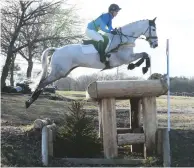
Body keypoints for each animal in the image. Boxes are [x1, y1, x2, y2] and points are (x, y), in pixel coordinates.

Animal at [25, 17, 158, 109]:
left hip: (63, 72)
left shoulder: (127, 57)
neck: (124, 39)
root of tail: (57, 49)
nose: (155, 44)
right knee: (42, 82)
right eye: (153, 29)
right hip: (59, 72)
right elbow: (145, 55)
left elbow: (146, 55)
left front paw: (140, 67)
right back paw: (29, 102)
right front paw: (140, 67)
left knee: (44, 82)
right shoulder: (125, 58)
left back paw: (30, 101)